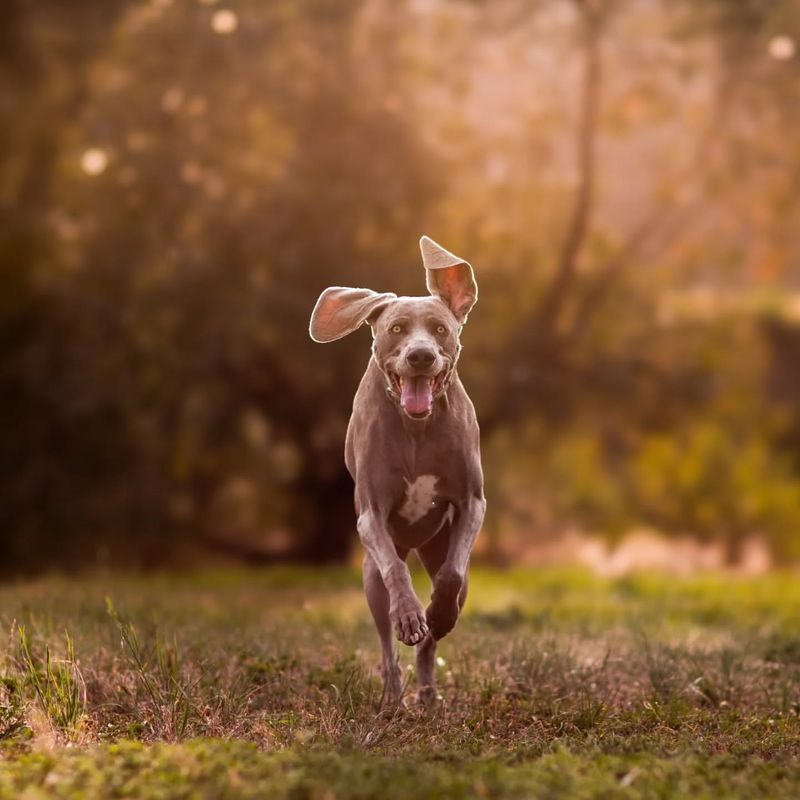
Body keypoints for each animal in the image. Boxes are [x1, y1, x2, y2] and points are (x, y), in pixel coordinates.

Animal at [308, 234, 484, 704]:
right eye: (396, 330)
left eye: (440, 330)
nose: (420, 356)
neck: (416, 429)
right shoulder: (371, 515)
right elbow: (397, 574)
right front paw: (408, 613)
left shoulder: (472, 503)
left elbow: (451, 576)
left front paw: (435, 613)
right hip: (371, 576)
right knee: (386, 638)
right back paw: (392, 696)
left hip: (443, 550)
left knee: (434, 635)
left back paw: (428, 690)